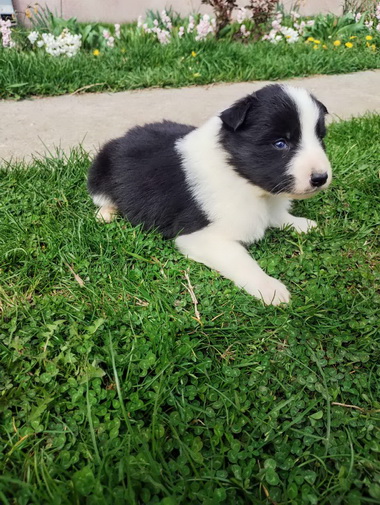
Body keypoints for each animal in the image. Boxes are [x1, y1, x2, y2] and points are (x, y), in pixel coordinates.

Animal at [87, 83, 332, 304]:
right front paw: (270, 288)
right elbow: (240, 260)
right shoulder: (201, 237)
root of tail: (122, 137)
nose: (321, 178)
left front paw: (301, 224)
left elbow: (279, 216)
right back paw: (106, 213)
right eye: (280, 143)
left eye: (320, 138)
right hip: (100, 169)